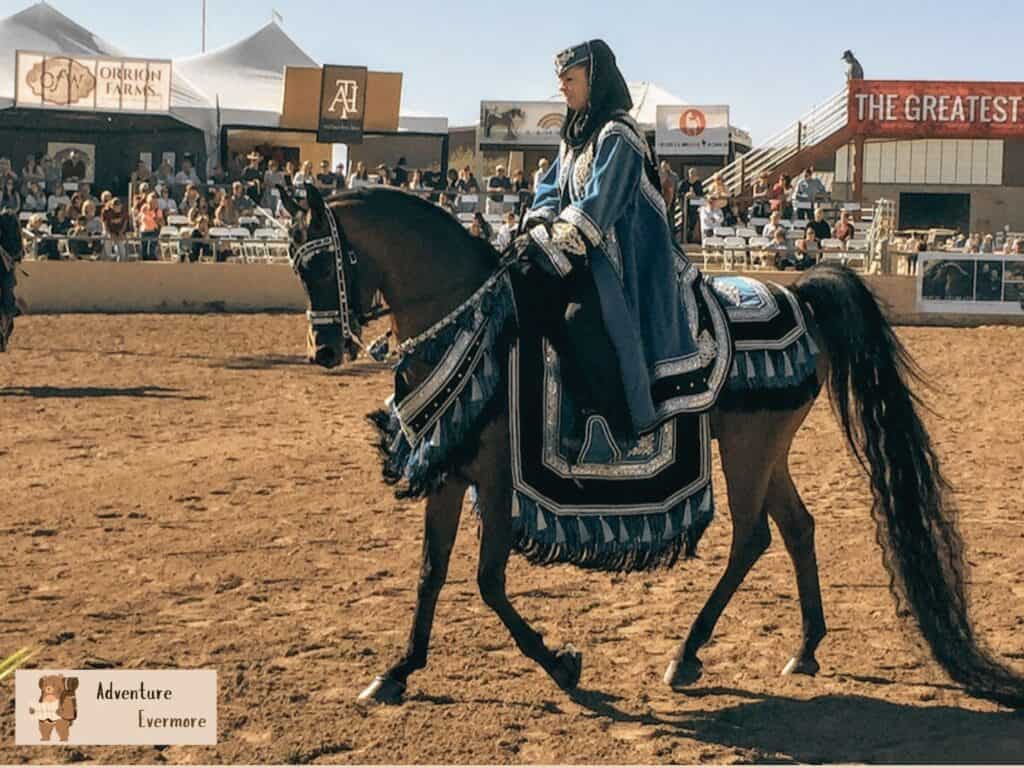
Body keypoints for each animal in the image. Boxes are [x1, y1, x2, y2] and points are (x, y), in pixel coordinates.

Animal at [280, 183, 1024, 710]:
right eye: (295, 264)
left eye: (327, 262)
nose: (324, 351)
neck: (473, 328)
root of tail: (800, 298)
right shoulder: (447, 472)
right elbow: (431, 575)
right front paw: (397, 671)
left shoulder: (493, 480)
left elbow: (488, 582)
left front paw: (563, 664)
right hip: (767, 450)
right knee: (797, 528)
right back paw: (805, 648)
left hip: (748, 449)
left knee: (753, 536)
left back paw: (687, 654)